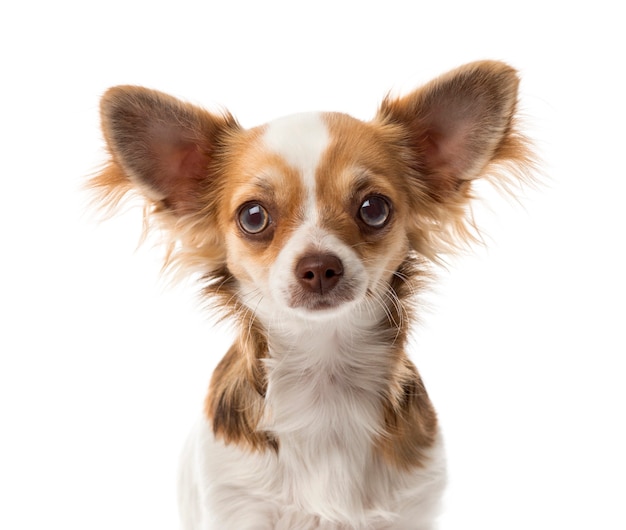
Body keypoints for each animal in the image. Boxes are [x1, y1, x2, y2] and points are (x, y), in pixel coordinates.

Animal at [91, 59, 532, 524]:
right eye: (253, 216)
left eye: (374, 208)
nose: (319, 266)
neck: (325, 375)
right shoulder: (237, 501)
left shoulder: (412, 505)